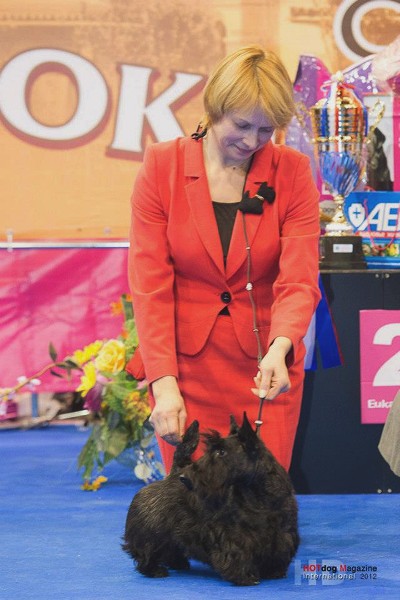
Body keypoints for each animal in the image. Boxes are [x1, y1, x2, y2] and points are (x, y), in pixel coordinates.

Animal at [122, 413, 299, 586]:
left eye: (221, 452)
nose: (185, 477)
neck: (259, 497)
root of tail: (173, 475)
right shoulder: (234, 538)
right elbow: (239, 555)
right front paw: (246, 576)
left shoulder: (283, 533)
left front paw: (274, 571)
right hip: (151, 532)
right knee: (147, 551)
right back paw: (154, 570)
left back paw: (179, 563)